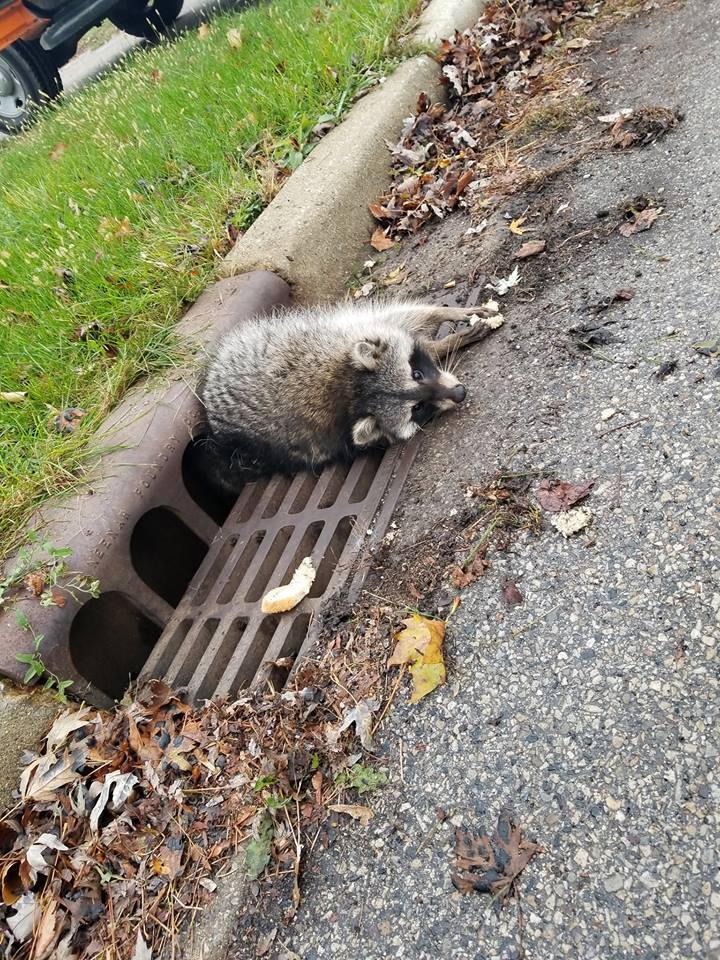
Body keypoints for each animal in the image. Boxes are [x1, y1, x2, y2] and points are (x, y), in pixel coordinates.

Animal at [198, 298, 500, 496]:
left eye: (417, 373)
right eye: (418, 408)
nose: (459, 393)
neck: (351, 392)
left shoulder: (346, 336)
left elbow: (408, 316)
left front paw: (448, 315)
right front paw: (446, 343)